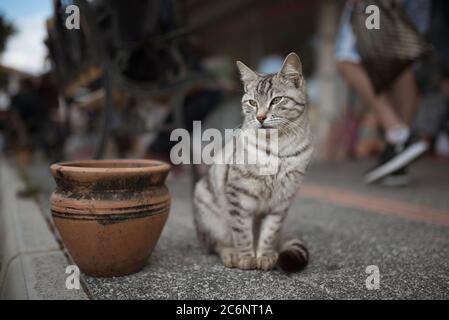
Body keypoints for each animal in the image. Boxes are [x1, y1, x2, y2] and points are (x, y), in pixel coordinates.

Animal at [192, 52, 312, 272]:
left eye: (276, 100)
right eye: (252, 103)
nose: (260, 117)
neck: (278, 148)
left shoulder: (282, 201)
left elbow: (269, 233)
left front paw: (263, 255)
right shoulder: (240, 195)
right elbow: (242, 232)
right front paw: (247, 257)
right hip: (207, 207)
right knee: (217, 244)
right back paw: (231, 253)